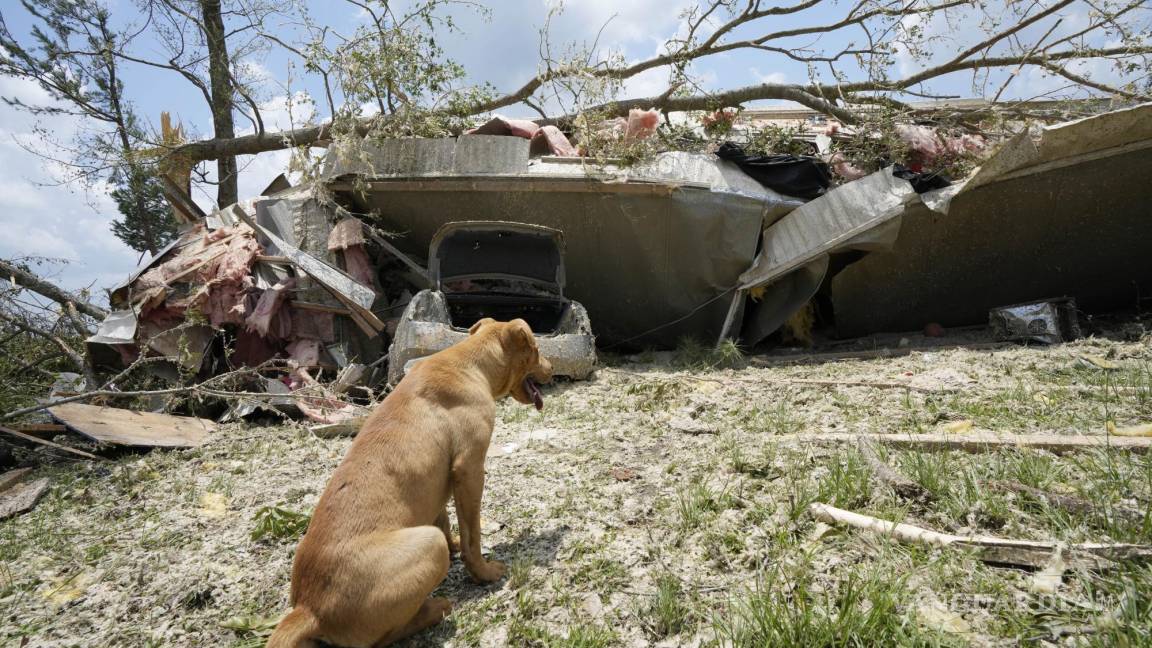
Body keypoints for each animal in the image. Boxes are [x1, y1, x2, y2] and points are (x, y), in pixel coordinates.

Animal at [271, 318, 555, 645]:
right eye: (537, 349)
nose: (552, 368)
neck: (470, 363)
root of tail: (308, 610)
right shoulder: (469, 469)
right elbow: (472, 537)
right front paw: (484, 573)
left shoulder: (441, 480)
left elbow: (445, 519)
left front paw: (455, 544)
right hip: (428, 545)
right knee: (387, 636)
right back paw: (436, 608)